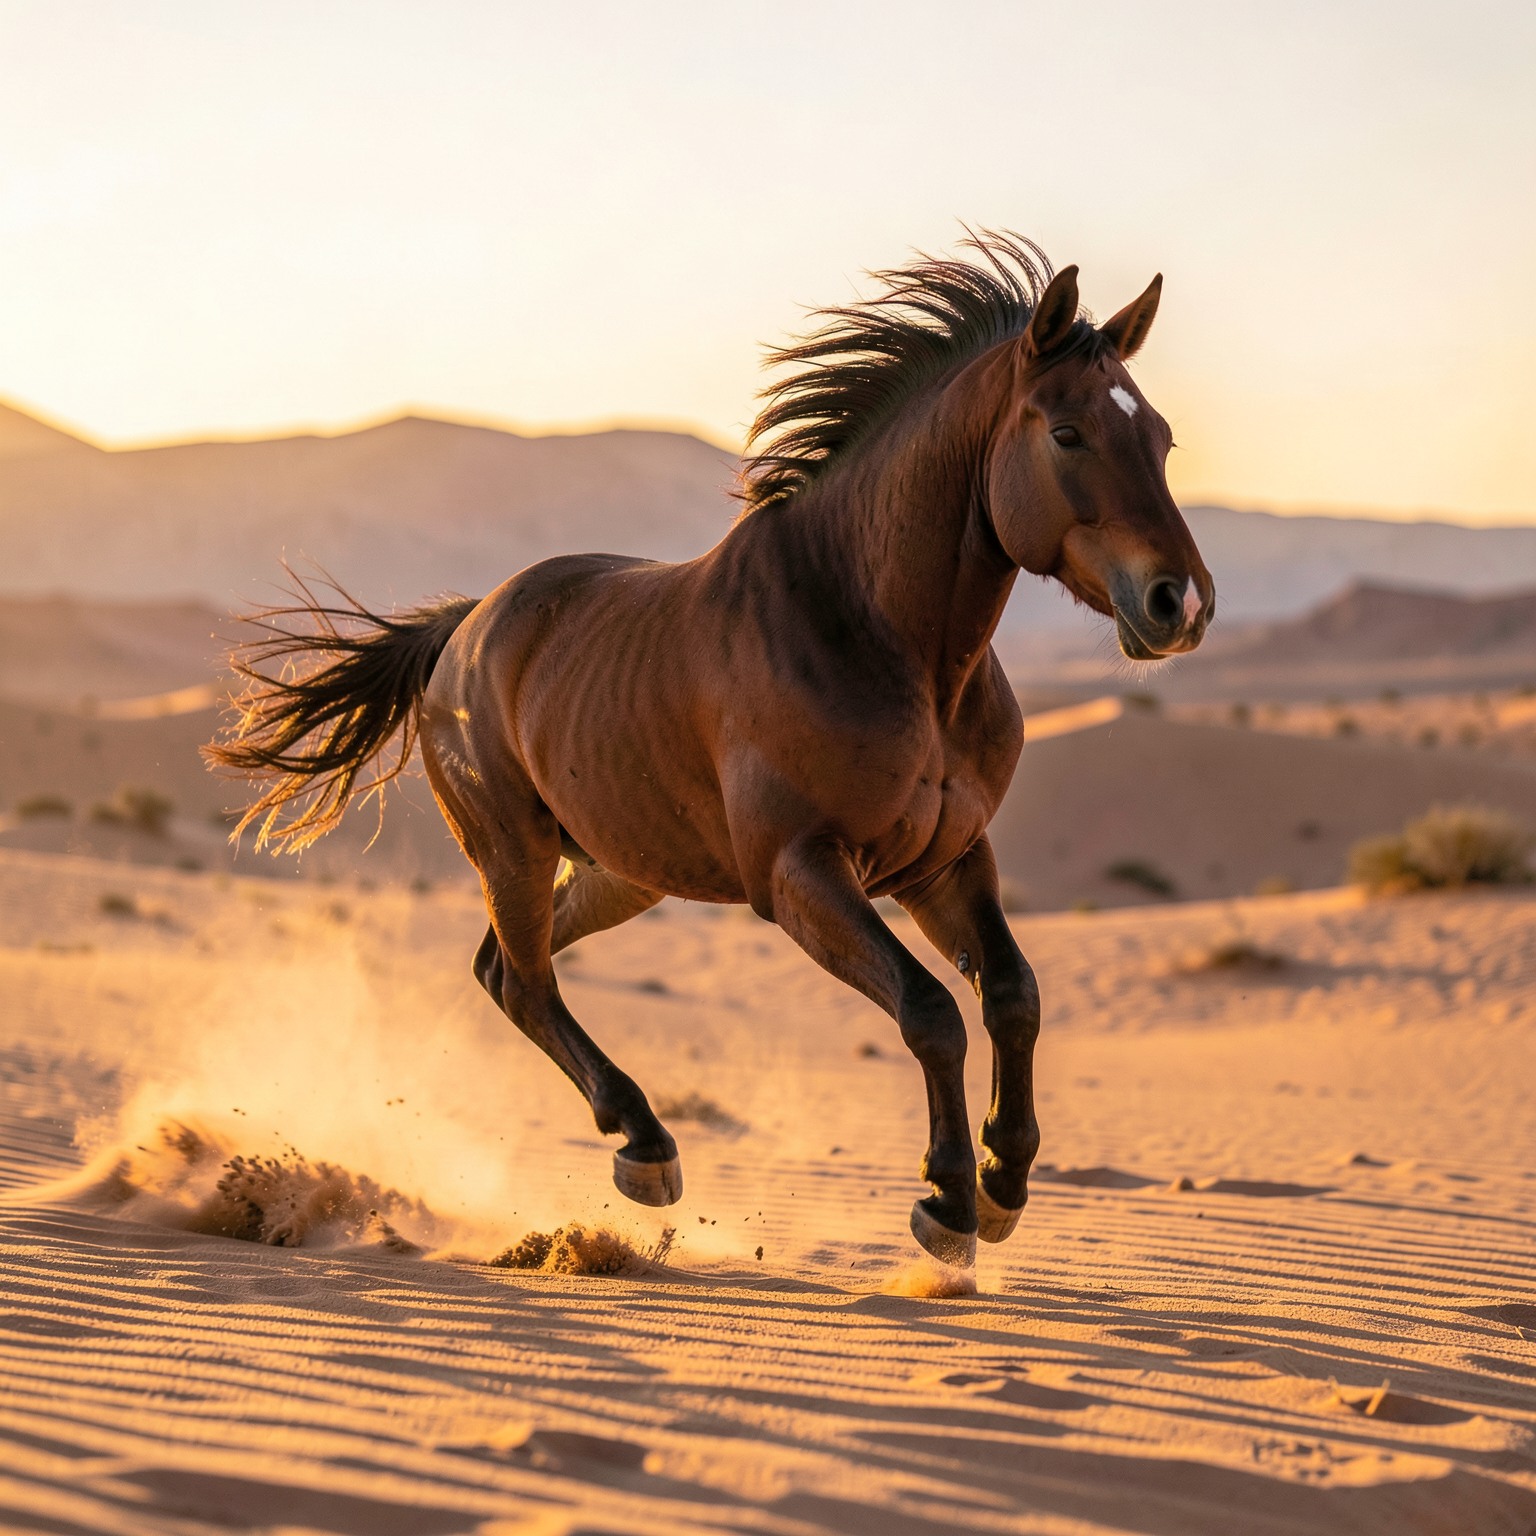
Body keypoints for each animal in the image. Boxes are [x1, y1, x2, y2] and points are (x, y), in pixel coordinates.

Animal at [208, 232, 1214, 1268]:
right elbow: (930, 1011)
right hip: (512, 851)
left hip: (620, 871)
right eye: (1069, 435)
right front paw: (947, 1200)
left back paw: (638, 1139)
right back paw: (648, 1150)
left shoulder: (946, 862)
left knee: (503, 970)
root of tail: (466, 628)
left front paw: (1003, 1179)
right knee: (526, 982)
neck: (878, 634)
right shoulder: (799, 874)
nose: (1180, 604)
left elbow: (1015, 995)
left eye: (1162, 439)